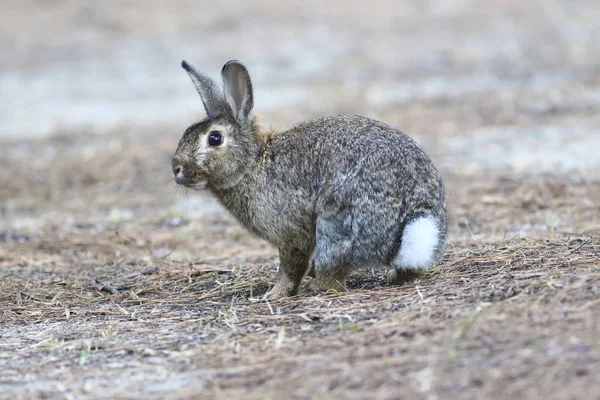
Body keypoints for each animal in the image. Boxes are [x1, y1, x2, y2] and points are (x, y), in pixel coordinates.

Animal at [172, 58, 446, 296]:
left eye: (214, 138)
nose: (176, 169)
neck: (252, 163)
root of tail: (414, 221)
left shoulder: (291, 233)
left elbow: (291, 266)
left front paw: (275, 294)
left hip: (336, 226)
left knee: (332, 278)